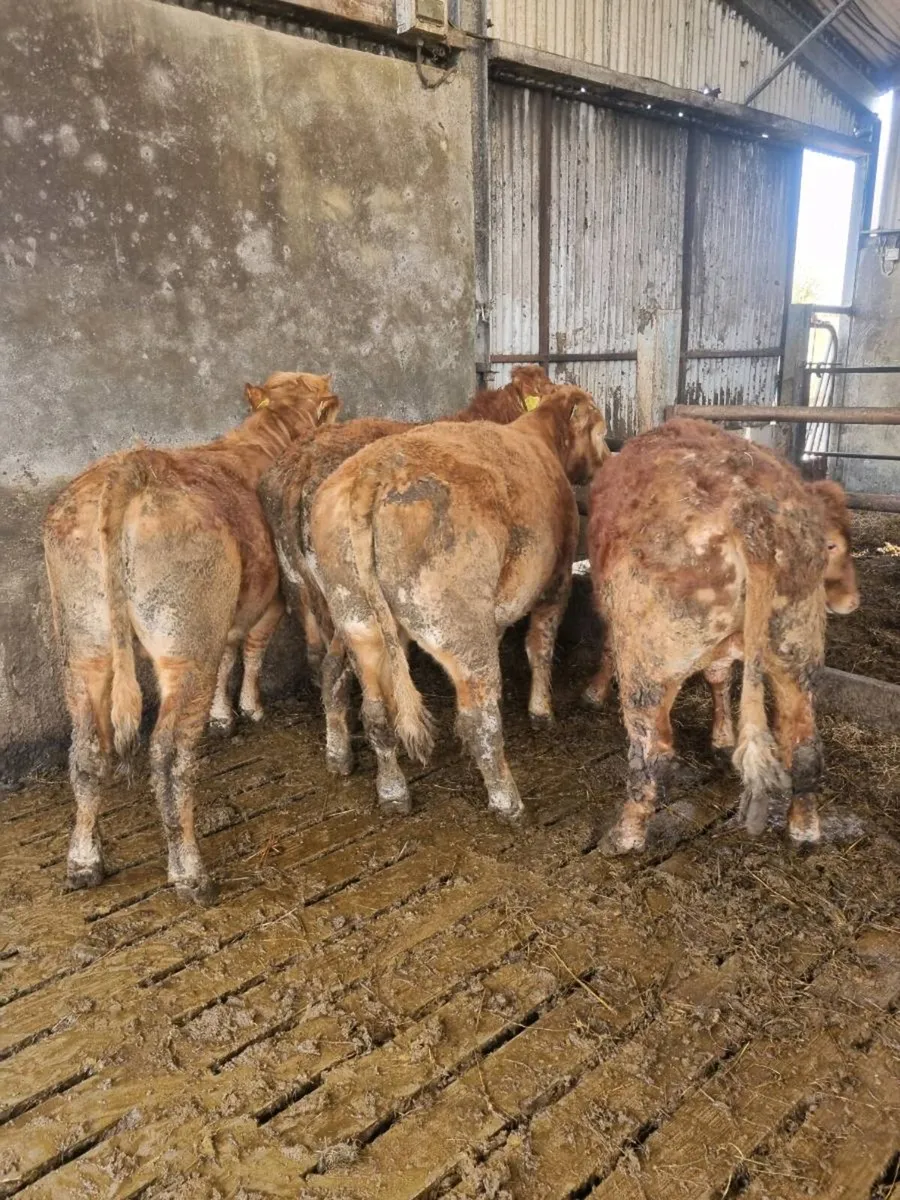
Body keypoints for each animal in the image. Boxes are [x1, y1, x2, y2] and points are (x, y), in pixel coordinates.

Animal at [43, 372, 339, 903]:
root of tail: (133, 467)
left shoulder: (226, 613)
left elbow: (228, 655)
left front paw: (224, 715)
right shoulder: (269, 602)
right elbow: (250, 651)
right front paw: (249, 708)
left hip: (84, 642)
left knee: (86, 749)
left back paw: (83, 861)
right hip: (185, 643)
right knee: (169, 756)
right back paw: (189, 872)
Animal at [308, 386, 609, 822]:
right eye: (600, 429)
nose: (606, 462)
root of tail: (374, 472)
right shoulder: (557, 580)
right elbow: (540, 647)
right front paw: (541, 711)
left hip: (356, 616)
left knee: (365, 702)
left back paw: (382, 784)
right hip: (458, 624)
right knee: (479, 719)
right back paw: (507, 801)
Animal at [585, 417, 859, 856]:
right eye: (834, 545)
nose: (851, 601)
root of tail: (751, 515)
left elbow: (609, 646)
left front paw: (593, 692)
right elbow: (719, 676)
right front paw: (722, 737)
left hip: (649, 663)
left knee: (653, 755)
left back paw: (625, 834)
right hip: (796, 647)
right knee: (804, 745)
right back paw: (804, 829)